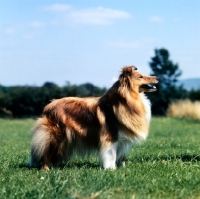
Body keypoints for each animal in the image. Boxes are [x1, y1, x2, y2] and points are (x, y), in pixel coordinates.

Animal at [29, 66, 158, 170]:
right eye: (141, 76)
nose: (157, 77)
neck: (126, 100)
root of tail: (48, 106)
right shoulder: (110, 136)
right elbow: (111, 154)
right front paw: (111, 168)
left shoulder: (122, 138)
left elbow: (121, 156)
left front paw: (122, 167)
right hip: (56, 136)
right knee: (46, 152)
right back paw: (46, 169)